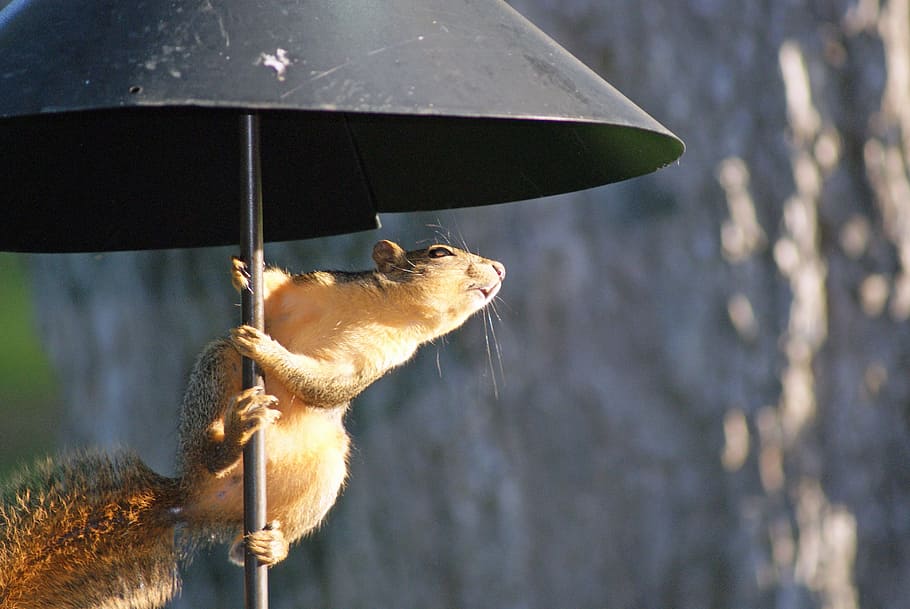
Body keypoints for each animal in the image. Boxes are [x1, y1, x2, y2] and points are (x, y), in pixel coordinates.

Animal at [0, 240, 505, 609]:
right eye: (439, 252)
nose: (500, 269)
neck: (387, 312)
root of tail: (191, 500)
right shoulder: (315, 285)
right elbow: (274, 289)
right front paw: (246, 270)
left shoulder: (372, 365)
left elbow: (322, 386)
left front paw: (268, 351)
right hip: (216, 367)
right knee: (213, 419)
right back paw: (226, 443)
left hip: (329, 466)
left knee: (252, 539)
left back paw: (268, 546)